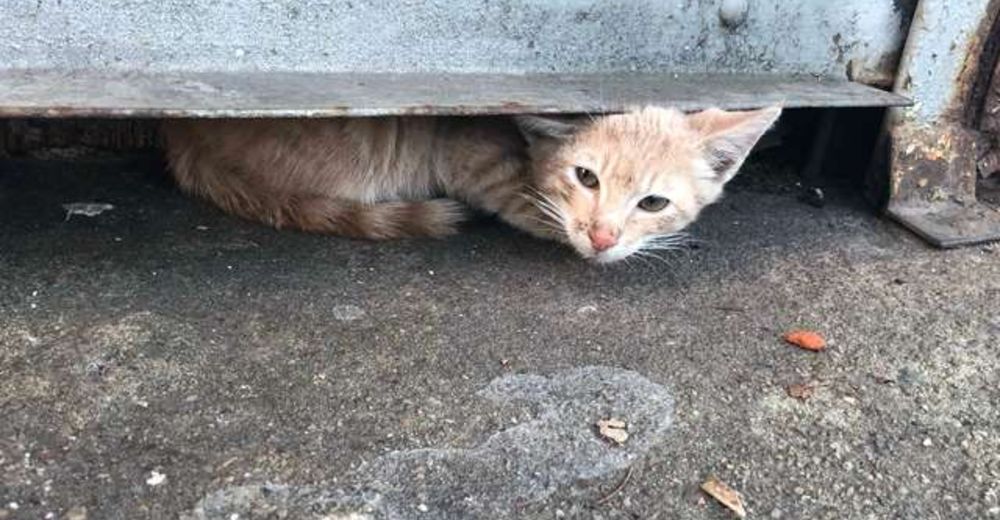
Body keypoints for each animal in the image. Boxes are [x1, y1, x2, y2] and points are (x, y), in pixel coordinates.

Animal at [162, 105, 780, 262]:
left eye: (652, 202)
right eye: (585, 177)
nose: (603, 237)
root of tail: (185, 138)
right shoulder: (464, 151)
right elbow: (521, 202)